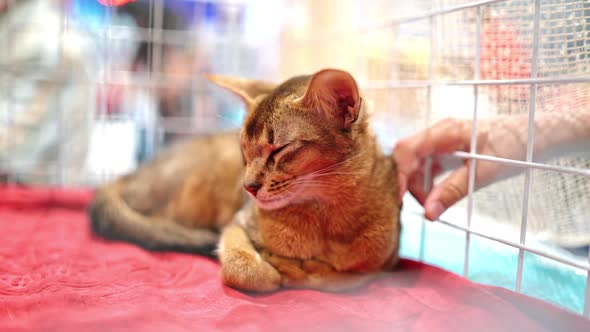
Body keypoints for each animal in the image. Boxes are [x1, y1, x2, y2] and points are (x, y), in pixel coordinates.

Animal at [90, 69, 404, 290]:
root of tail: (127, 176)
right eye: (243, 148)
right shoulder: (235, 226)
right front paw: (276, 267)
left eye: (278, 149)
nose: (248, 187)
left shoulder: (384, 264)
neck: (324, 218)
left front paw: (305, 269)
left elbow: (343, 277)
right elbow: (244, 270)